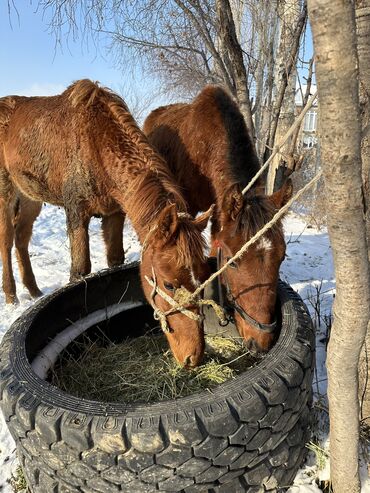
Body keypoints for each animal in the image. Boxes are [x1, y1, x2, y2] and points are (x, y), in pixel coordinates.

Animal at [0, 80, 212, 366]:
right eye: (169, 284)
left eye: (203, 276)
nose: (193, 356)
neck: (96, 143)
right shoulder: (77, 213)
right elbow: (80, 270)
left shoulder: (114, 215)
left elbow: (115, 260)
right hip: (6, 192)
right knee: (6, 241)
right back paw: (11, 296)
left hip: (30, 197)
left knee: (21, 239)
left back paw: (34, 291)